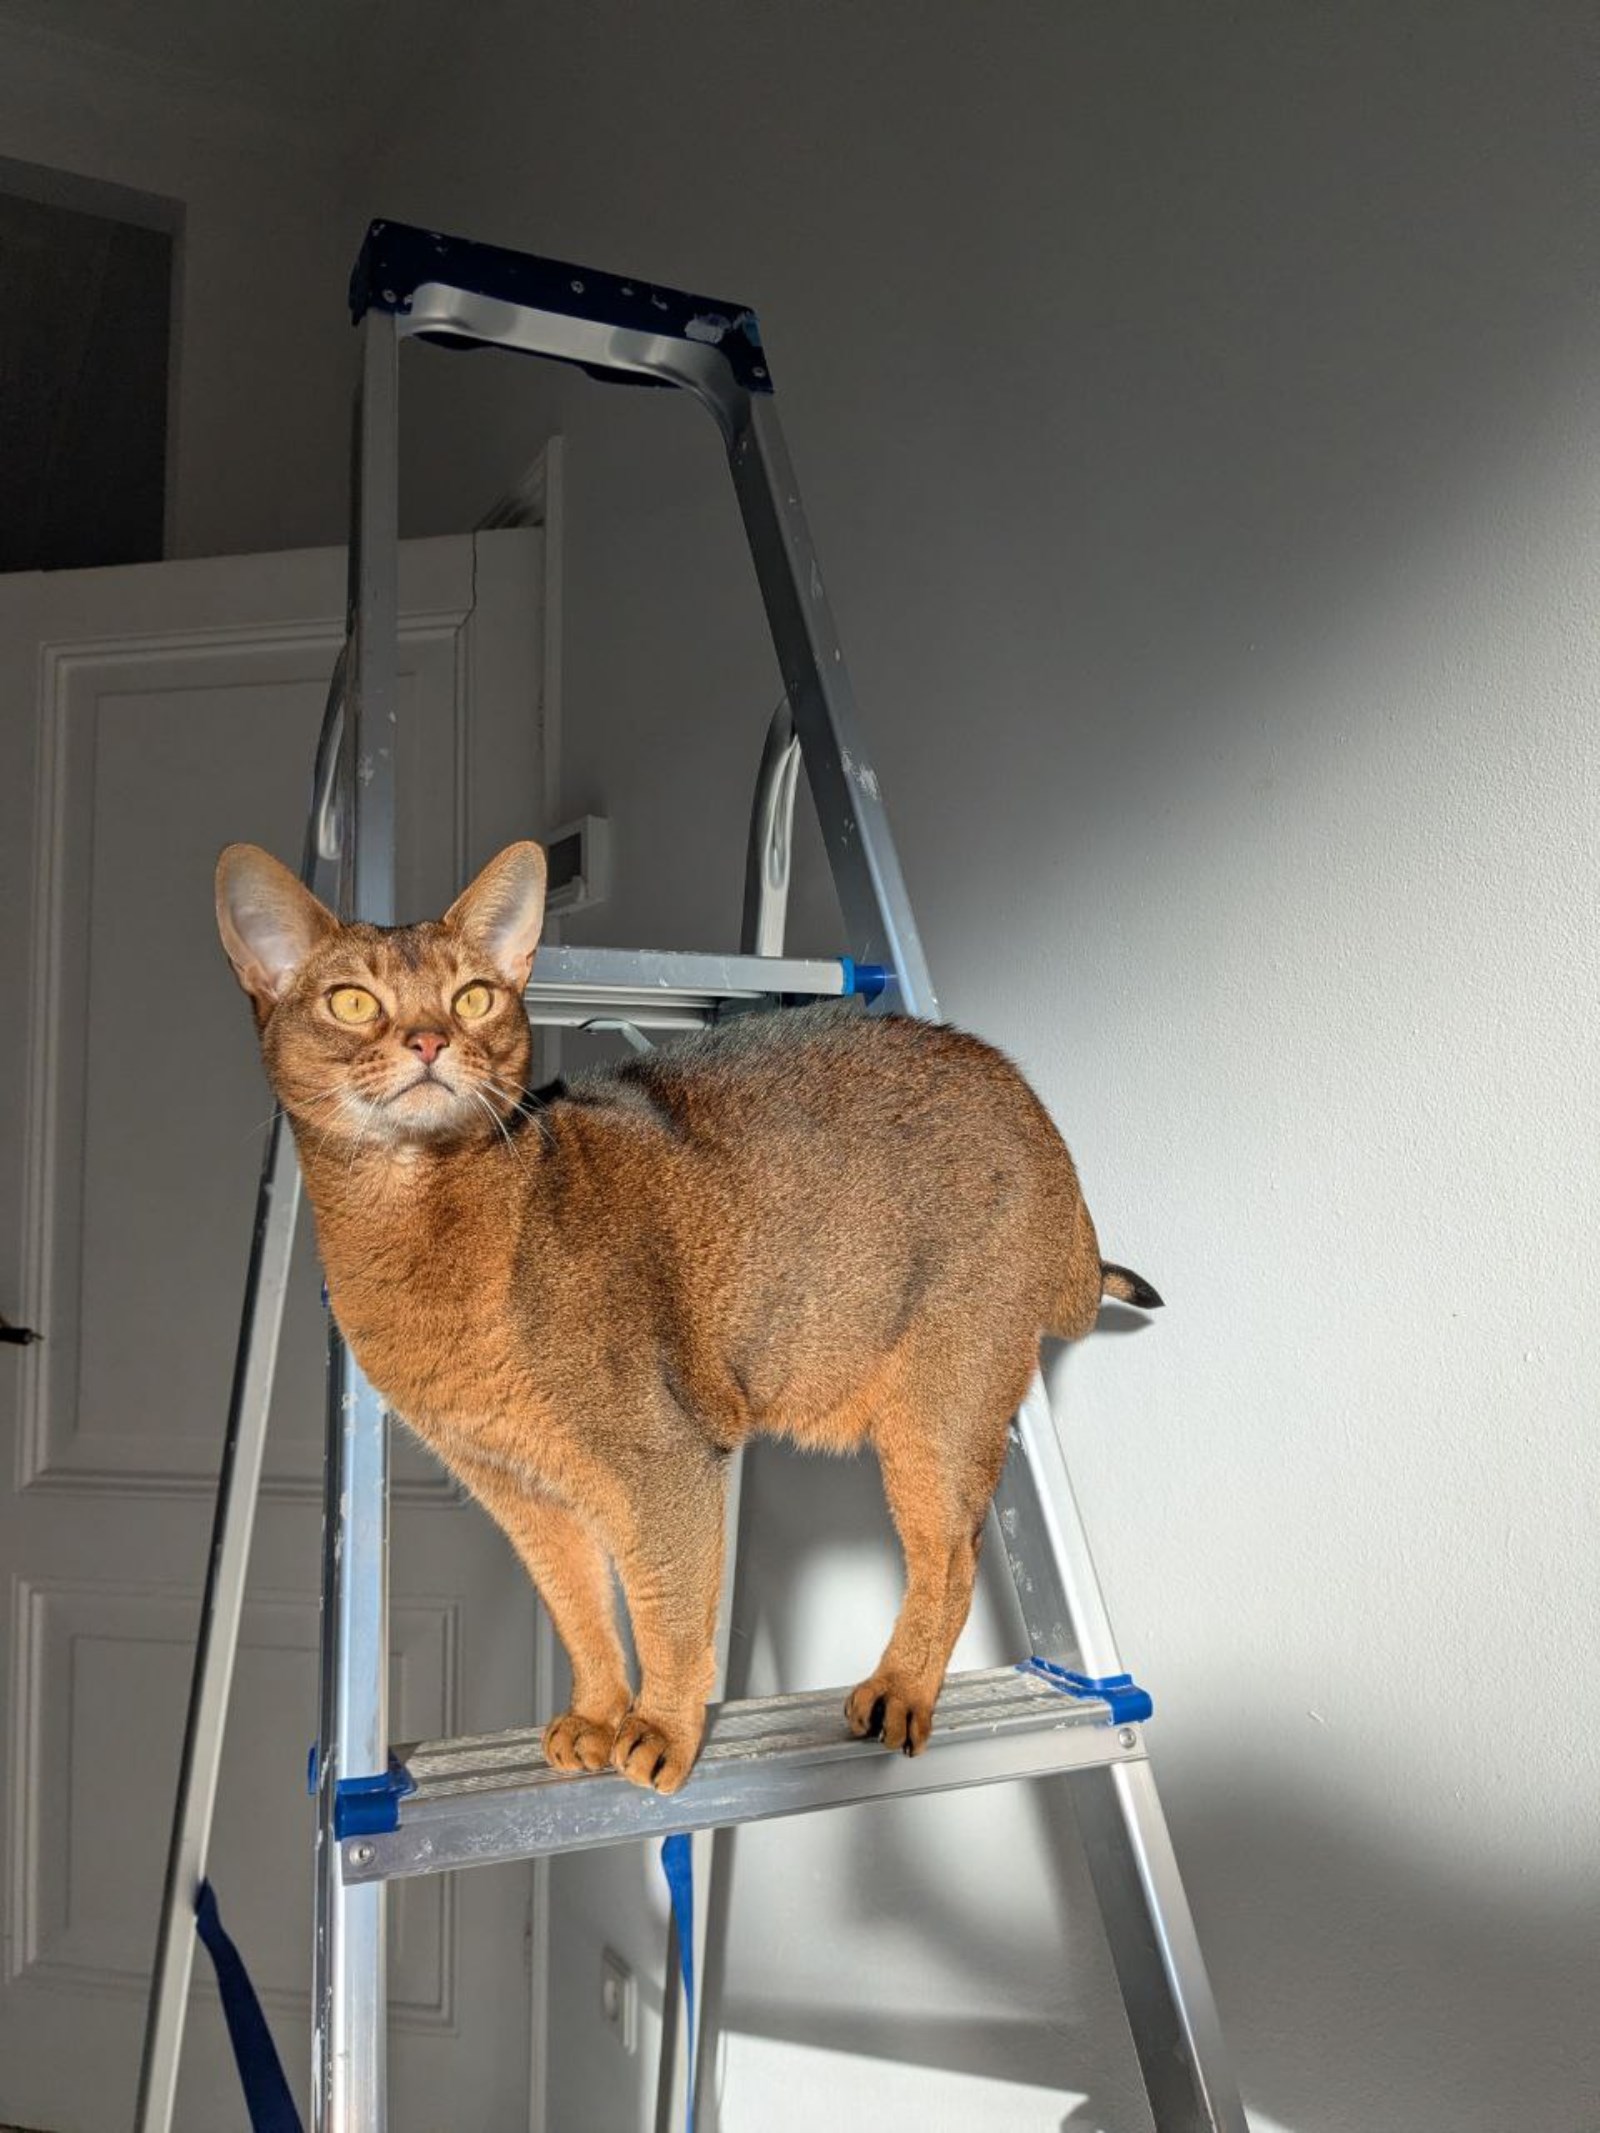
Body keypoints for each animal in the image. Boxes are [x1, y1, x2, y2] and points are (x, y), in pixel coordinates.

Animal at [215, 839, 1160, 1794]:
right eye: (351, 1001)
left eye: (473, 996)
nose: (429, 1039)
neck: (419, 1232)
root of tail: (1038, 1116)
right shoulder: (518, 1489)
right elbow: (580, 1609)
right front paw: (597, 1714)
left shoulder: (659, 1461)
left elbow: (665, 1610)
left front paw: (662, 1730)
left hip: (941, 1404)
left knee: (951, 1558)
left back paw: (899, 1691)